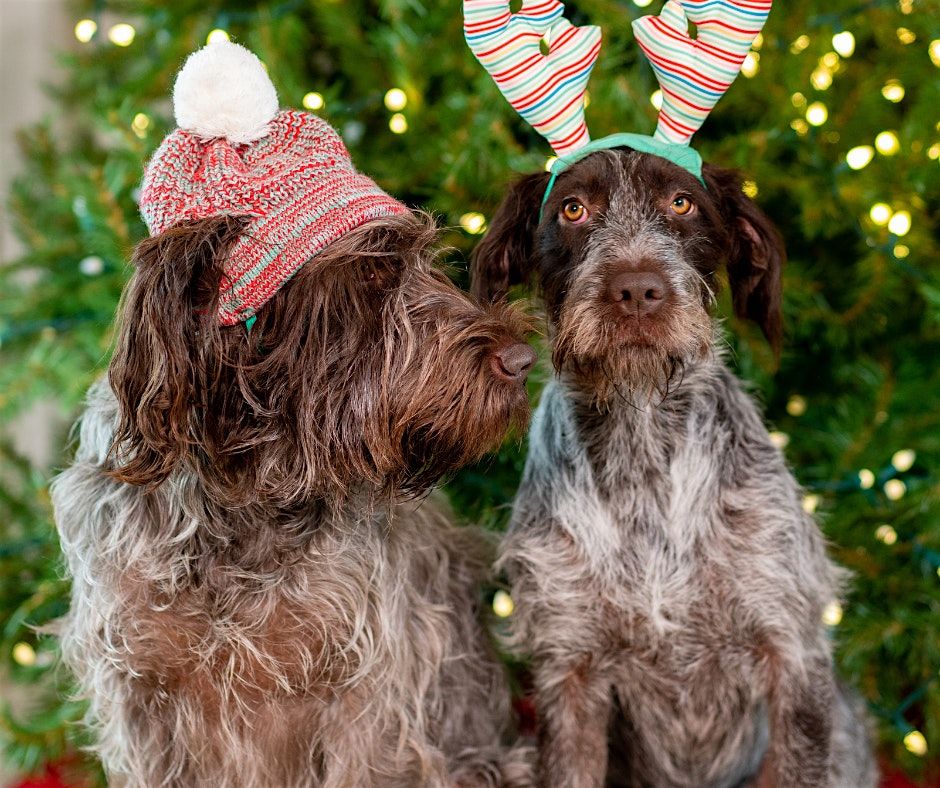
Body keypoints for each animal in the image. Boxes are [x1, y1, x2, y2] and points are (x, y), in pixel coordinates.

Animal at [51, 43, 536, 788]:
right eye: (372, 273)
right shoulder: (142, 704)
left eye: (424, 259)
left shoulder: (366, 702)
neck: (242, 492)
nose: (523, 359)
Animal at [466, 1, 876, 788]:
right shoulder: (569, 668)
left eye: (682, 202)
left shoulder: (792, 654)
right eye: (572, 211)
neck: (642, 439)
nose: (636, 290)